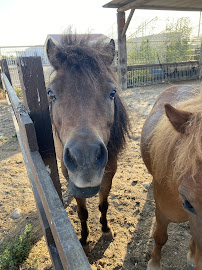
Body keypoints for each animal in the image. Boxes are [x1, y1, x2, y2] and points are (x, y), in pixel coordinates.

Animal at [45, 34, 129, 247]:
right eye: (51, 93)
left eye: (112, 92)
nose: (86, 160)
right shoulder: (71, 177)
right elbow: (82, 211)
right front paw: (83, 238)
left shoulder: (109, 173)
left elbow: (103, 204)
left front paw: (106, 229)